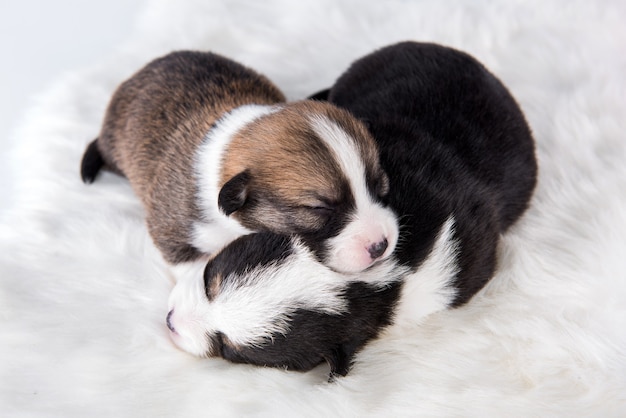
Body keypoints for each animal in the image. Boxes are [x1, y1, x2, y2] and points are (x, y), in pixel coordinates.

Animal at [80, 50, 398, 272]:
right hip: (114, 141)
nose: (381, 245)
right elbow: (187, 263)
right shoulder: (172, 225)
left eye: (380, 185)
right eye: (318, 208)